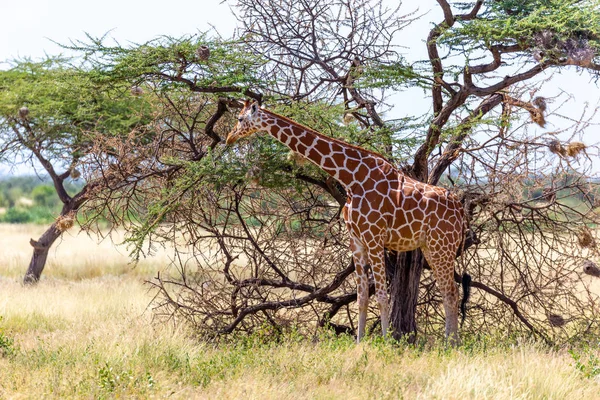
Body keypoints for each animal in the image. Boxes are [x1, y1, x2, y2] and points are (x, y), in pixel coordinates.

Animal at [227, 101, 466, 344]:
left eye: (239, 119)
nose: (229, 137)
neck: (351, 178)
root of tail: (460, 211)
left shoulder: (374, 238)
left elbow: (382, 295)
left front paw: (386, 343)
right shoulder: (356, 241)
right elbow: (362, 296)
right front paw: (360, 343)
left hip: (443, 246)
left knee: (452, 292)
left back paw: (452, 344)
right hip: (430, 247)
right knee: (447, 290)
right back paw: (449, 342)